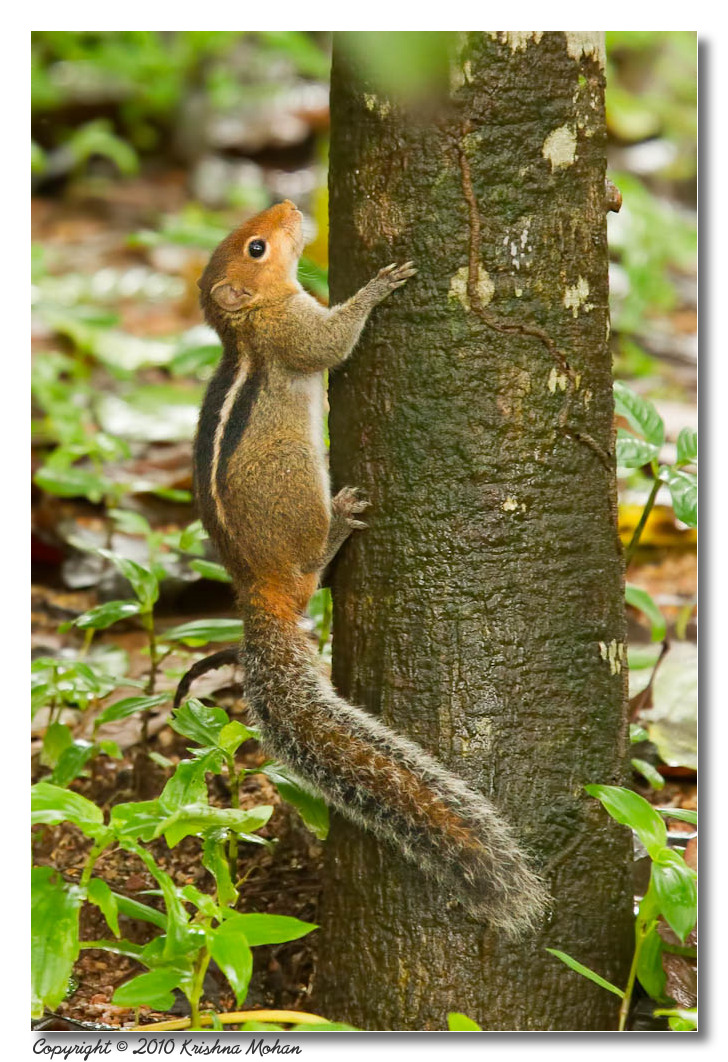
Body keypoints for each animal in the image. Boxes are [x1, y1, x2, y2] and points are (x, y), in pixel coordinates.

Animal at [184, 199, 548, 938]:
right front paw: (378, 287)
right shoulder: (294, 329)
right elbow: (330, 342)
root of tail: (256, 594)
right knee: (314, 563)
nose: (292, 205)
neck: (247, 324)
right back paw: (340, 521)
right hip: (298, 521)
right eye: (258, 247)